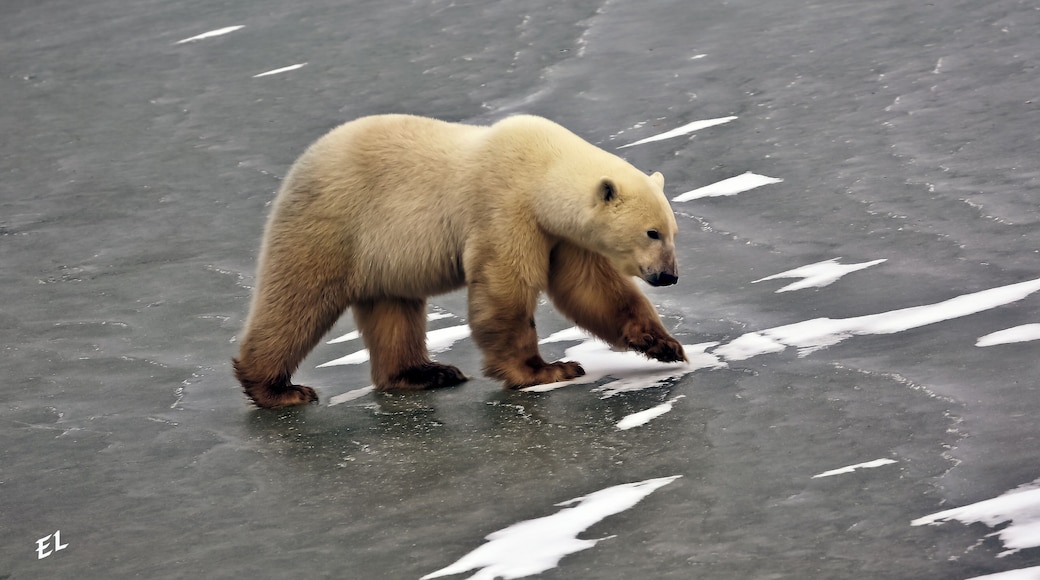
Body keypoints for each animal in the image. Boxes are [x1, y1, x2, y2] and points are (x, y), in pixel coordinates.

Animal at [233, 114, 685, 408]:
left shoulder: (561, 235)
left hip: (381, 255)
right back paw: (278, 389)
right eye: (652, 232)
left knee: (392, 310)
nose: (668, 276)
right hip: (333, 224)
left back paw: (425, 372)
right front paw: (547, 370)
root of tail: (302, 163)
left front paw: (665, 345)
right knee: (297, 300)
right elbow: (506, 289)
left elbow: (592, 290)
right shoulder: (505, 208)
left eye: (672, 231)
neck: (541, 169)